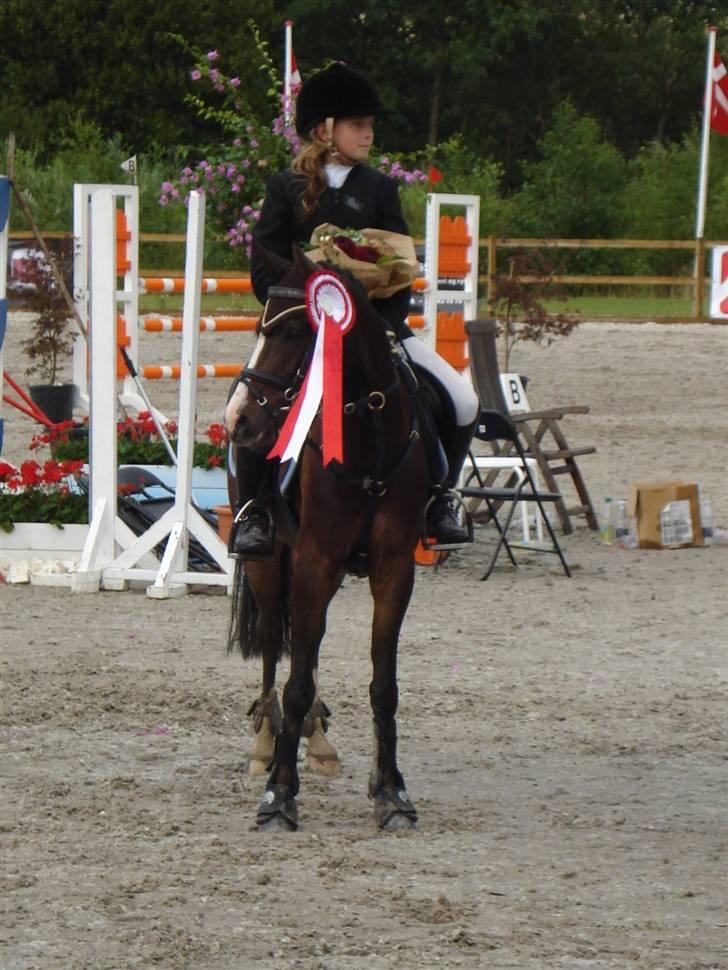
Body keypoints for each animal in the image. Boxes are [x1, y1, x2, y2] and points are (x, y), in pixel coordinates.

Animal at [224, 245, 429, 831]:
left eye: (296, 332)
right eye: (259, 325)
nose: (239, 419)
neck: (370, 442)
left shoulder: (392, 569)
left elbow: (384, 685)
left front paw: (391, 790)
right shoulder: (312, 561)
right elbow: (293, 683)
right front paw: (278, 794)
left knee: (306, 651)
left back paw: (315, 742)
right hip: (272, 565)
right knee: (278, 647)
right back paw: (268, 745)